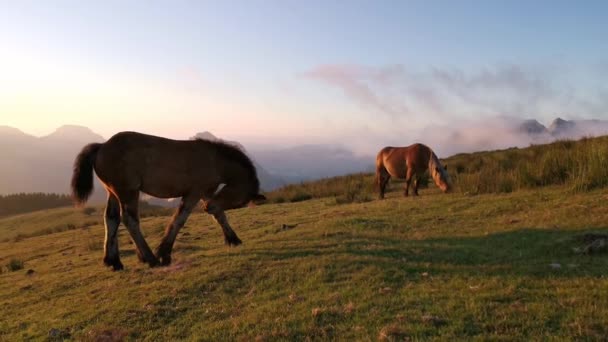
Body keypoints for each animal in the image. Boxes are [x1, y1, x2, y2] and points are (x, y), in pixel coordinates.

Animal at [70, 132, 264, 272]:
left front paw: (233, 239)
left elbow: (220, 216)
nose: (207, 208)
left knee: (111, 220)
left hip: (113, 192)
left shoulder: (206, 193)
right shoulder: (194, 192)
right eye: (238, 201)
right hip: (128, 192)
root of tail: (102, 146)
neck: (214, 160)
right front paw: (164, 253)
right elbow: (179, 219)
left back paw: (114, 262)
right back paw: (150, 259)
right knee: (129, 220)